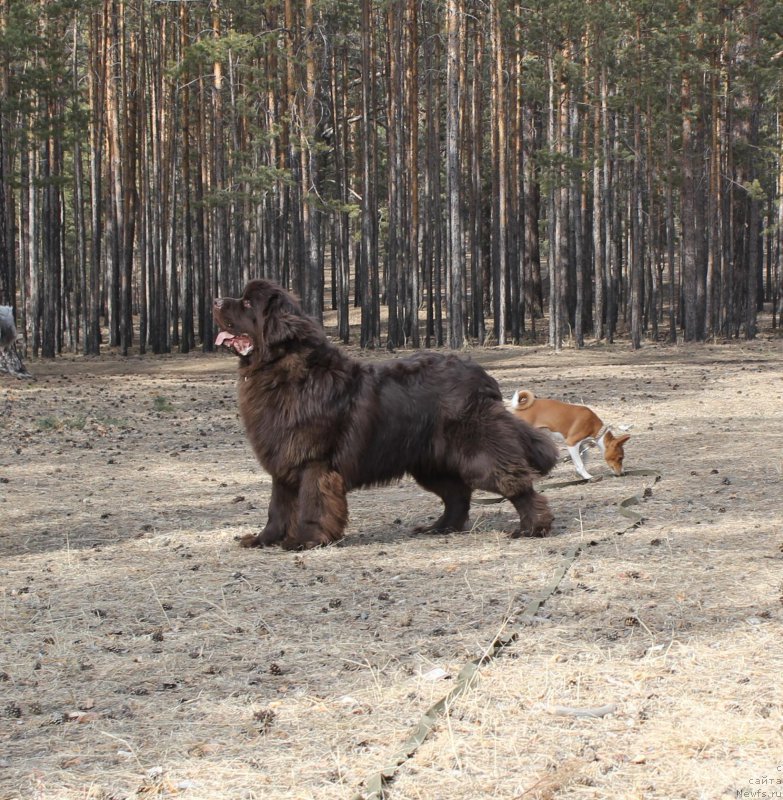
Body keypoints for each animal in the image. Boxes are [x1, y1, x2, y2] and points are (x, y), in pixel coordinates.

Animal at [211, 282, 560, 552]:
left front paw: (306, 539)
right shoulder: (283, 461)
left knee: (514, 482)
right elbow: (278, 507)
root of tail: (483, 378)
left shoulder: (313, 461)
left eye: (247, 303)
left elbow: (311, 502)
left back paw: (532, 527)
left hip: (477, 452)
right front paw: (262, 539)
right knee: (458, 495)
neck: (281, 371)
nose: (214, 300)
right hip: (432, 463)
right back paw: (440, 527)